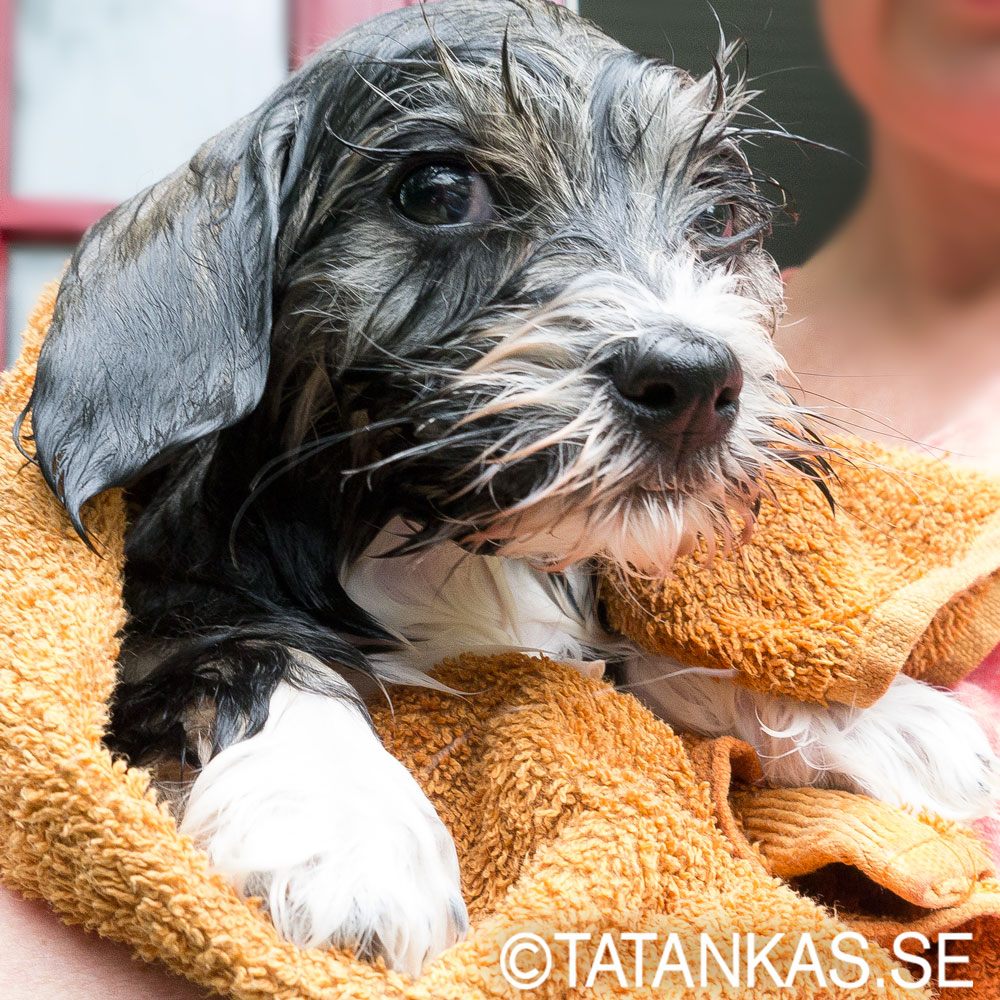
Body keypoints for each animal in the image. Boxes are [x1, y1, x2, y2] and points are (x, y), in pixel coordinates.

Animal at [19, 0, 998, 976]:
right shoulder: (153, 607)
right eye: (439, 193)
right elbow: (239, 646)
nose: (694, 382)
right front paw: (345, 819)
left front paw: (873, 719)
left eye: (721, 215)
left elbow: (642, 655)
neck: (416, 532)